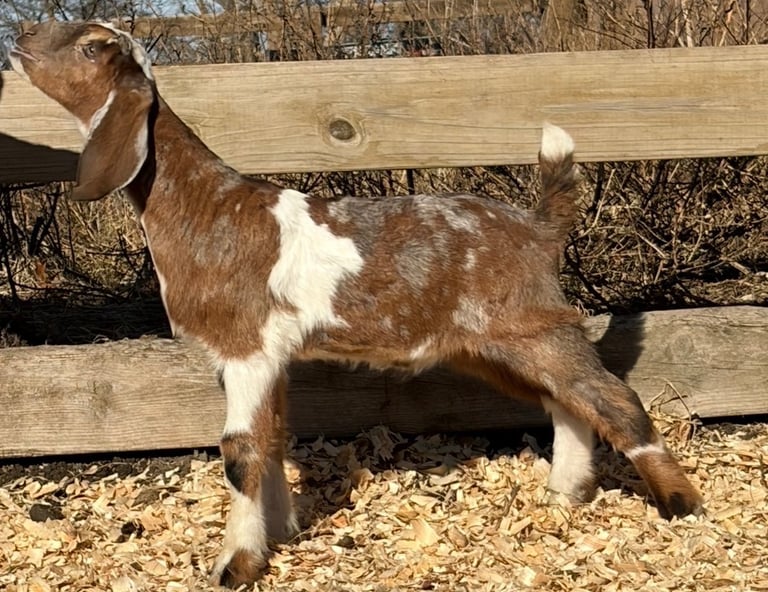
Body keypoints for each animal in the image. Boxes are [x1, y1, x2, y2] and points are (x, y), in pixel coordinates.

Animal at [10, 20, 703, 587]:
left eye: (91, 46)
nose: (20, 37)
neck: (203, 205)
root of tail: (538, 227)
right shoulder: (270, 356)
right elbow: (274, 436)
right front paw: (282, 531)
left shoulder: (246, 346)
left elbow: (240, 451)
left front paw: (237, 563)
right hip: (497, 341)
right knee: (566, 400)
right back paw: (564, 493)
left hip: (527, 323)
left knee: (611, 397)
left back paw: (681, 505)